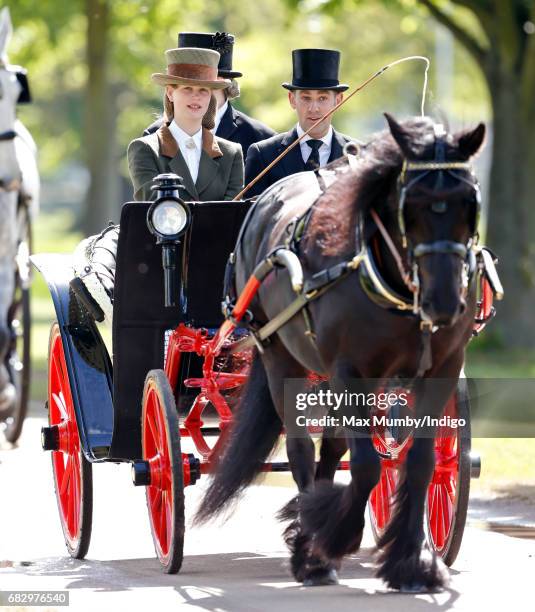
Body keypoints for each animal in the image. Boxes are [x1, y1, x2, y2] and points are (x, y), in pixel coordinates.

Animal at [196, 115, 486, 592]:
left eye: (470, 200)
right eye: (410, 203)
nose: (444, 302)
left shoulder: (442, 368)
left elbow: (420, 462)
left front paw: (411, 563)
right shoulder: (349, 369)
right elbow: (366, 464)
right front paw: (331, 537)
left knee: (331, 450)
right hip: (282, 358)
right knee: (301, 450)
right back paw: (309, 547)